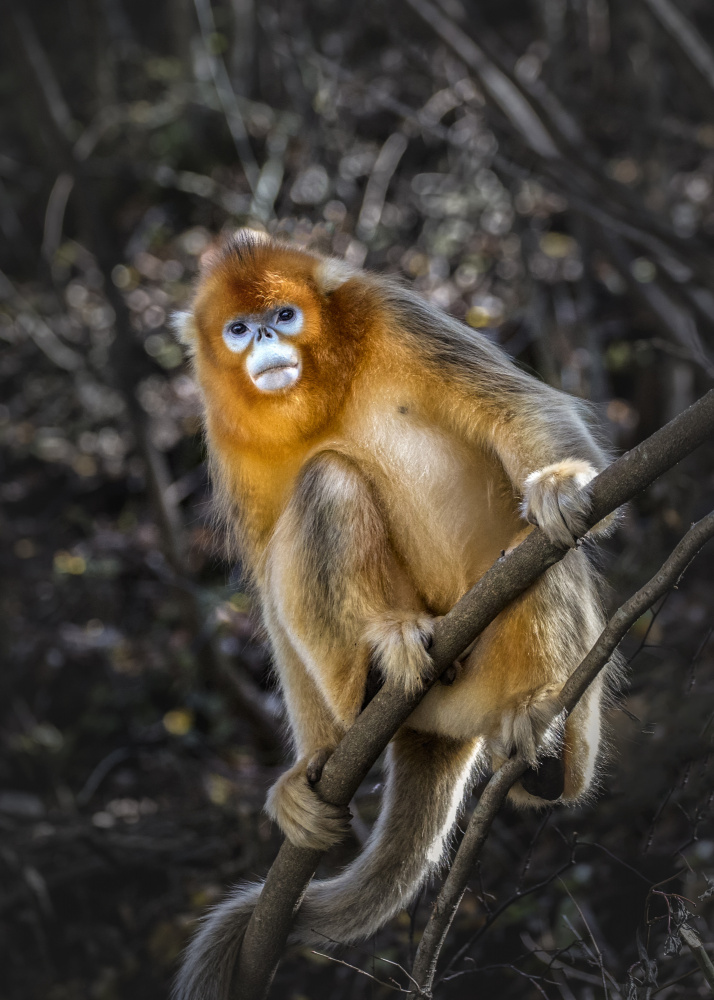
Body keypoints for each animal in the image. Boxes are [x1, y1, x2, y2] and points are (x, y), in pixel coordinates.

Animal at [170, 229, 616, 1000]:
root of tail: (436, 730)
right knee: (326, 484)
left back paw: (545, 721)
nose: (265, 339)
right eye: (238, 329)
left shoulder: (396, 314)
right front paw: (305, 766)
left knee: (535, 551)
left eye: (284, 315)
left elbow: (521, 410)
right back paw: (382, 664)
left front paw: (560, 482)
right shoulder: (223, 428)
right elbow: (267, 590)